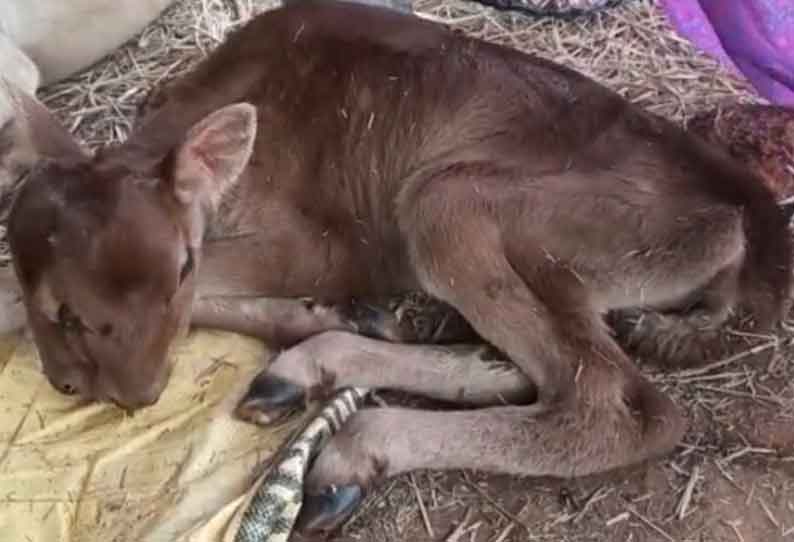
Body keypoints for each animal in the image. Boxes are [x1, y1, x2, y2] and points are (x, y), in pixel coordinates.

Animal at [3, 0, 788, 536]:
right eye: (61, 304)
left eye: (179, 266)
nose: (125, 393)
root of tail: (746, 220)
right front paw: (326, 318)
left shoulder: (321, 243)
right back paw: (329, 367)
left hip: (451, 200)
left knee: (620, 405)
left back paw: (353, 450)